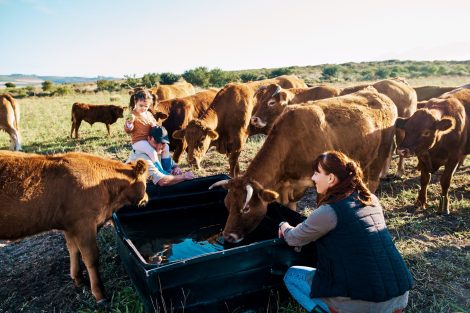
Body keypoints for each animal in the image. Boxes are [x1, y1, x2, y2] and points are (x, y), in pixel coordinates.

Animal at [0, 151, 148, 302]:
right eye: (146, 182)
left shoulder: (70, 226)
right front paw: (99, 294)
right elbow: (91, 257)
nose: (147, 199)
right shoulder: (84, 224)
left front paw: (78, 279)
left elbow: (73, 249)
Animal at [209, 86, 396, 243]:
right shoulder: (289, 188)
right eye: (227, 203)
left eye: (246, 208)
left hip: (381, 154)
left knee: (373, 181)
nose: (228, 236)